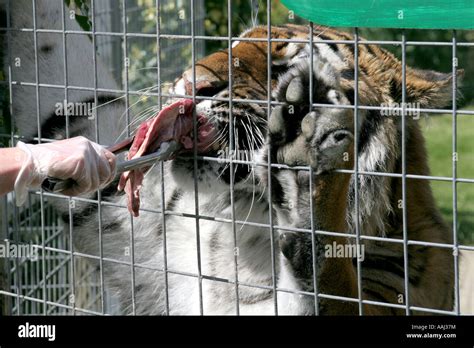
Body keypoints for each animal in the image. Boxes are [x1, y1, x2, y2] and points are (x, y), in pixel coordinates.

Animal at [3, 0, 462, 316]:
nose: (190, 82)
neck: (242, 227)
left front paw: (308, 175)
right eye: (232, 44)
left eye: (280, 67)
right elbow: (68, 86)